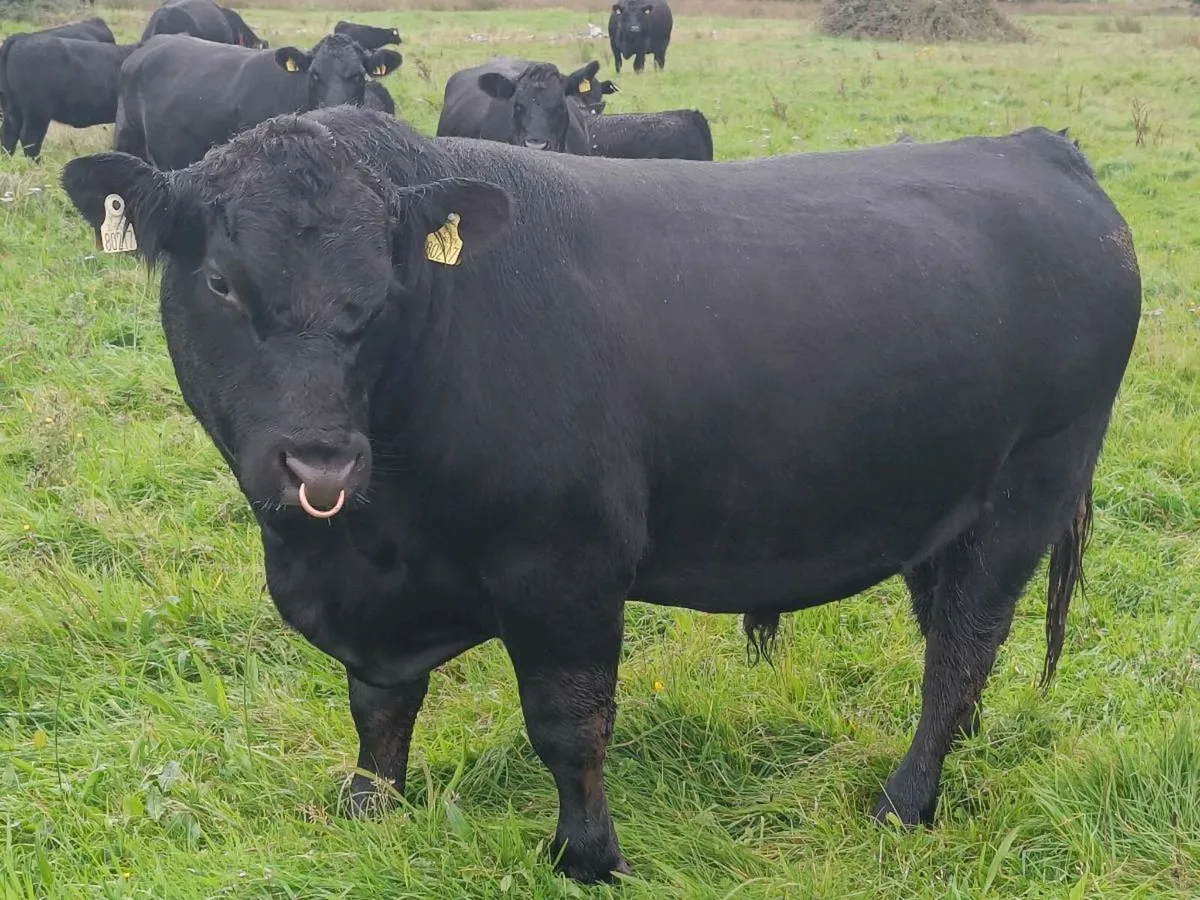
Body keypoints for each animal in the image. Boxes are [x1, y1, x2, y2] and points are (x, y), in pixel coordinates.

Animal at [61, 107, 1141, 884]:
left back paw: (905, 803)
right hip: (942, 505)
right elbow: (378, 708)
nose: (318, 462)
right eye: (221, 282)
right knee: (949, 639)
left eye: (384, 288)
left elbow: (567, 724)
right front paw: (370, 810)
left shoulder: (564, 566)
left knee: (961, 648)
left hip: (1032, 487)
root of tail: (1040, 147)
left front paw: (585, 857)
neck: (362, 546)